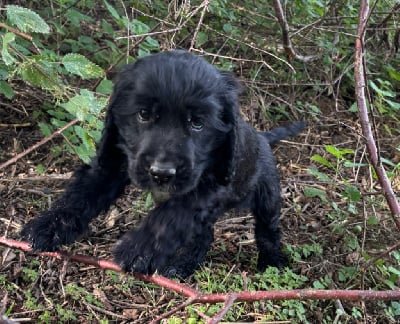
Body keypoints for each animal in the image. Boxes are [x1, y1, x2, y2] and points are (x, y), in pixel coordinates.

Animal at [20, 50, 304, 278]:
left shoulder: (207, 185)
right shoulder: (114, 161)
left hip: (267, 194)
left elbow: (171, 215)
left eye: (197, 122)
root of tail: (262, 136)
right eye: (144, 114)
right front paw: (48, 225)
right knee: (204, 235)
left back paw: (272, 262)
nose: (162, 173)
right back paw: (181, 266)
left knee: (268, 230)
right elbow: (82, 194)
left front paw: (139, 250)